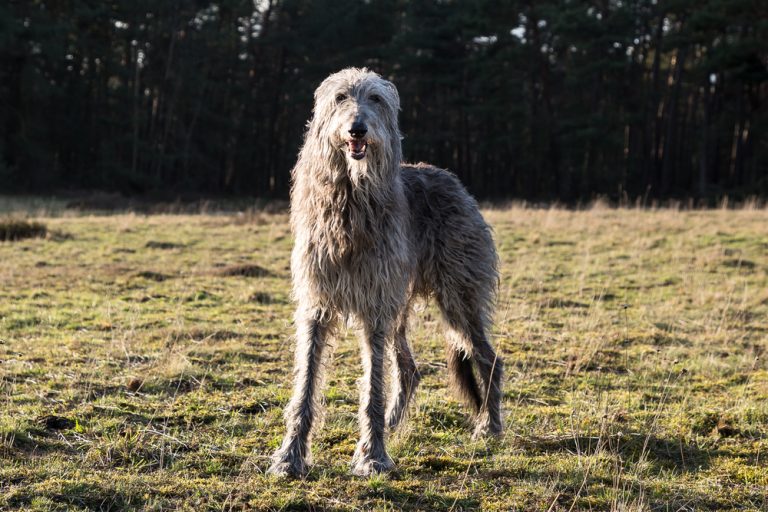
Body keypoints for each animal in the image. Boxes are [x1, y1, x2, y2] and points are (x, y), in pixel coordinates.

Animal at [268, 68, 500, 480]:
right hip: (402, 302)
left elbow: (372, 385)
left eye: (375, 98)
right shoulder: (317, 304)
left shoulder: (375, 305)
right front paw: (290, 455)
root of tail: (452, 180)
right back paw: (394, 423)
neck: (349, 200)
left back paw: (490, 426)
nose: (357, 129)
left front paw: (373, 455)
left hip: (457, 294)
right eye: (341, 97)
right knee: (409, 369)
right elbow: (306, 383)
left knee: (488, 358)